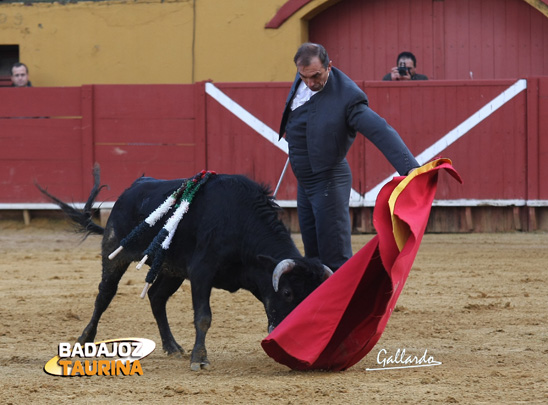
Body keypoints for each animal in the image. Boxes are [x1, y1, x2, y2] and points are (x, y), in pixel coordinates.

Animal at [38, 169, 332, 370]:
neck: (240, 222)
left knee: (156, 298)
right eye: (287, 293)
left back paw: (172, 346)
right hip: (114, 254)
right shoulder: (202, 272)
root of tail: (131, 189)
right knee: (104, 296)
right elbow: (203, 316)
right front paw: (199, 359)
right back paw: (84, 340)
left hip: (171, 270)